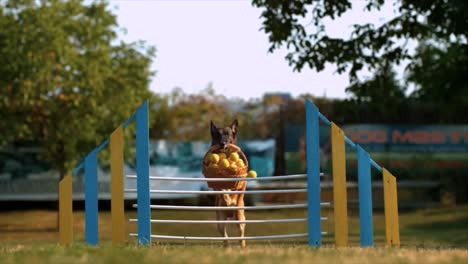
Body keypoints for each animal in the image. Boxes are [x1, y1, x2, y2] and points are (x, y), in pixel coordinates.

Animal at [209, 120, 247, 249]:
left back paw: (242, 246)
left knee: (241, 234)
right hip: (220, 221)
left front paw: (229, 198)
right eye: (218, 135)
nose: (222, 143)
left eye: (227, 134)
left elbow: (233, 188)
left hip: (240, 217)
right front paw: (226, 198)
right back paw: (227, 247)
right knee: (225, 236)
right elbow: (221, 190)